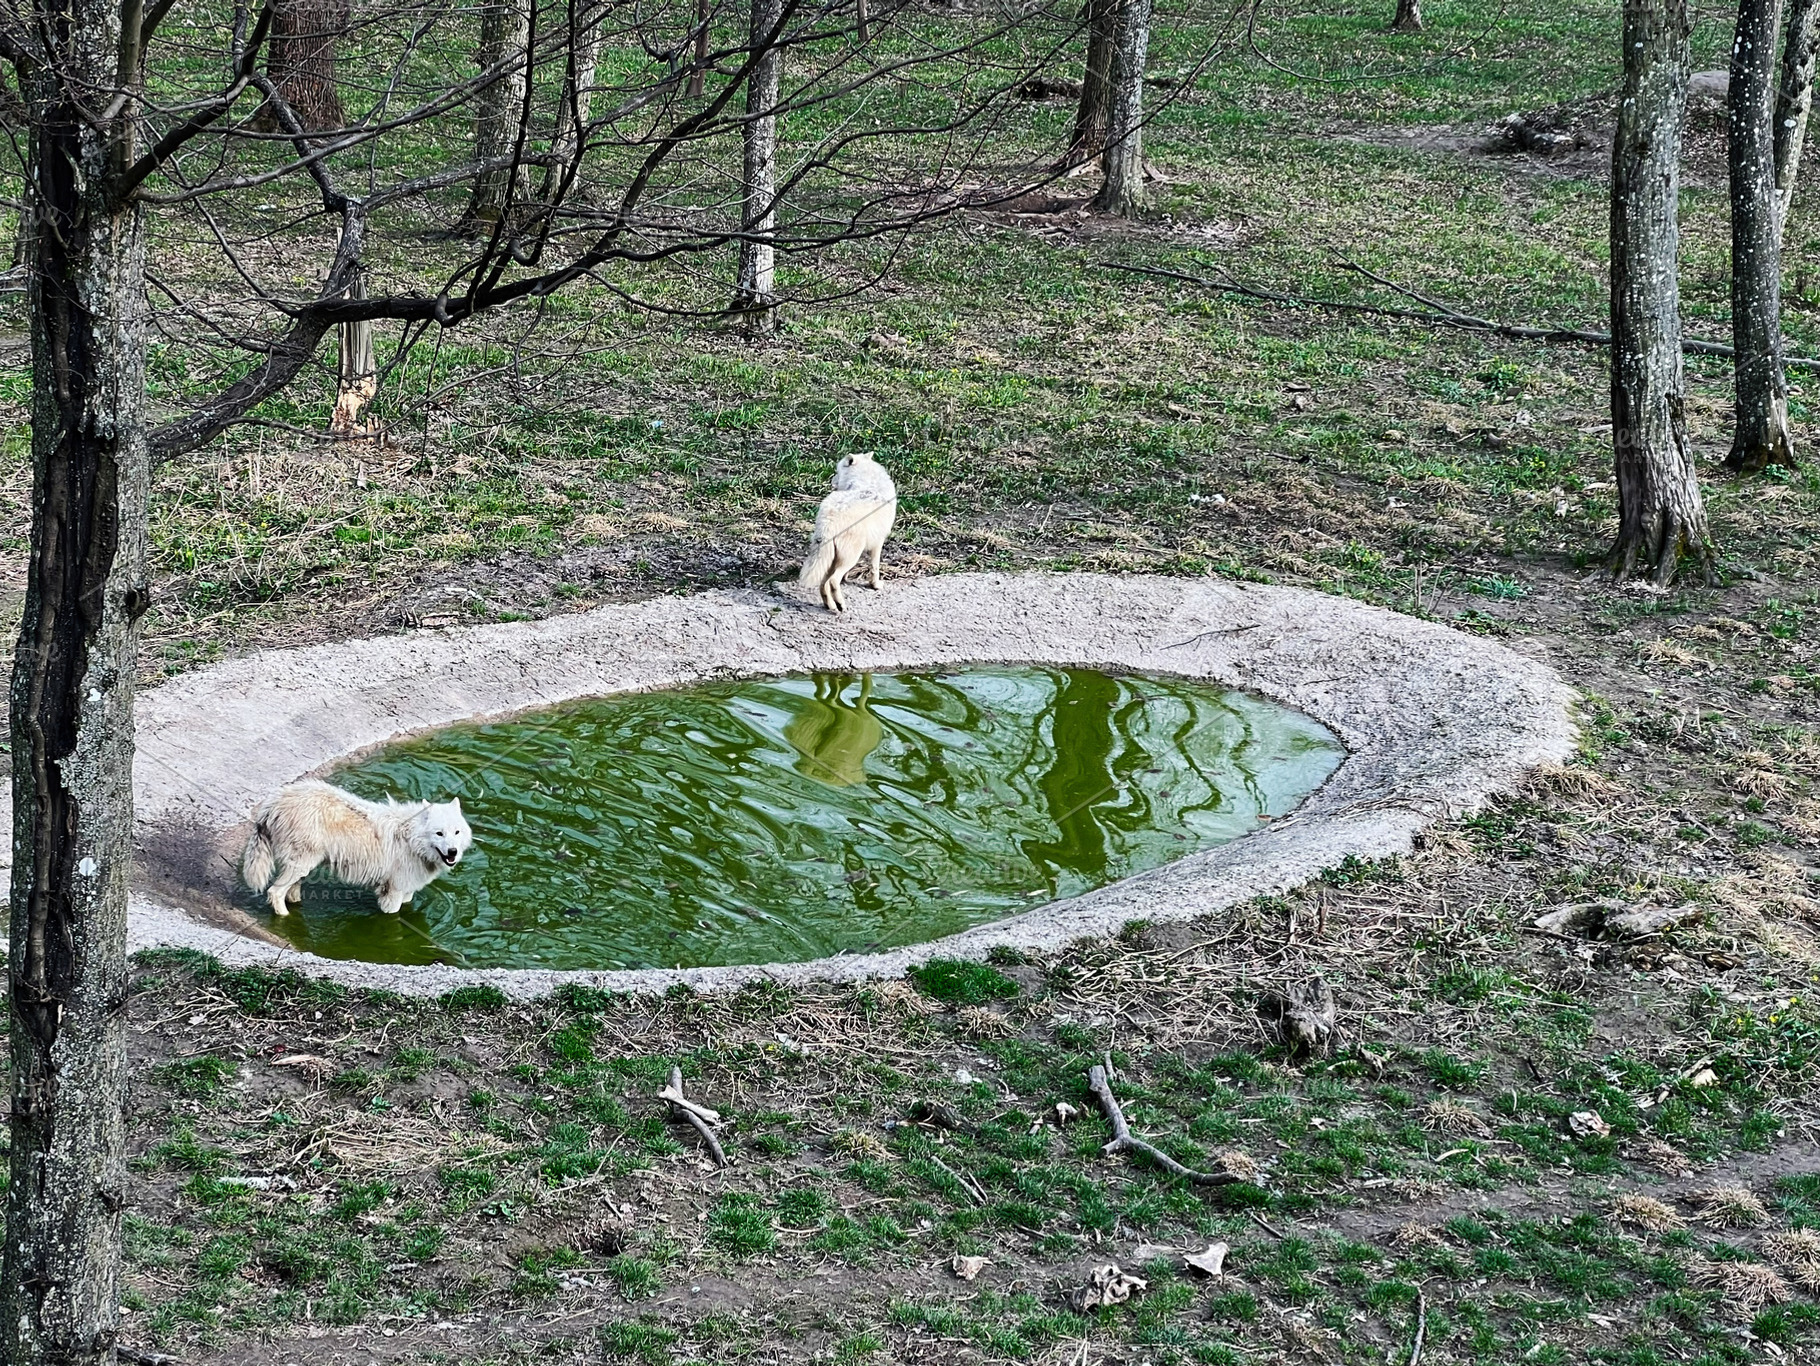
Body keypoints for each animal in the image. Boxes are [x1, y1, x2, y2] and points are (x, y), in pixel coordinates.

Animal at [241, 779, 472, 917]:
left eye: (456, 832)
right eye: (439, 833)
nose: (452, 852)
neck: (412, 840)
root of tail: (273, 802)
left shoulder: (407, 890)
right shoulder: (394, 892)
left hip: (304, 865)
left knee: (291, 891)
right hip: (302, 863)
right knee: (275, 892)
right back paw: (285, 917)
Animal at [800, 451, 896, 612]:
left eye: (837, 471)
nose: (831, 480)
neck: (866, 479)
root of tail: (829, 521)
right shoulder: (878, 543)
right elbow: (875, 568)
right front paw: (875, 586)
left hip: (831, 558)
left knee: (824, 584)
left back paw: (831, 606)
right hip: (851, 557)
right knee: (833, 581)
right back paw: (840, 604)